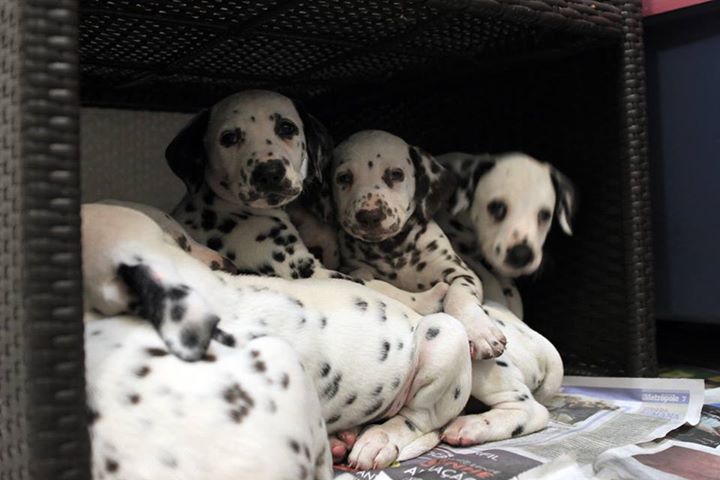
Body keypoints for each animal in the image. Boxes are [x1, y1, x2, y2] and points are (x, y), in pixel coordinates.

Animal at [169, 88, 448, 316]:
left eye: (286, 127)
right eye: (228, 138)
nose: (269, 172)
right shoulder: (307, 271)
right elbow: (377, 286)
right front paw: (429, 297)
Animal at [328, 131, 506, 360]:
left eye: (396, 174)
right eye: (344, 177)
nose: (369, 215)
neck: (393, 249)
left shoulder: (461, 272)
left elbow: (459, 295)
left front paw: (480, 331)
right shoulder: (354, 268)